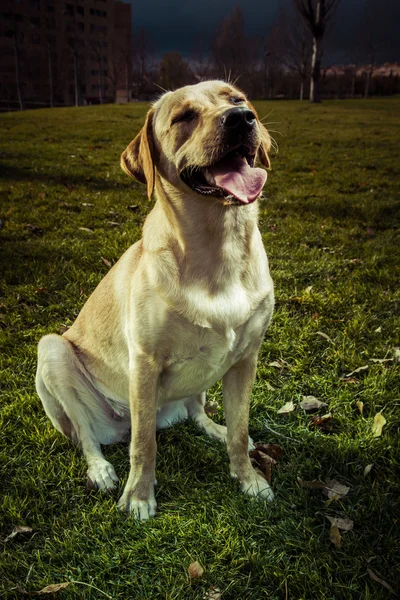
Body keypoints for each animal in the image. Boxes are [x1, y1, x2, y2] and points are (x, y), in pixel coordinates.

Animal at [36, 81, 276, 520]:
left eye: (237, 99)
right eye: (184, 117)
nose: (241, 119)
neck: (219, 247)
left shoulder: (246, 358)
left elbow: (240, 429)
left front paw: (249, 479)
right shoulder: (145, 364)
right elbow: (144, 443)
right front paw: (139, 496)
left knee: (197, 411)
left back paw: (213, 428)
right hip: (53, 351)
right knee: (88, 435)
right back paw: (100, 469)